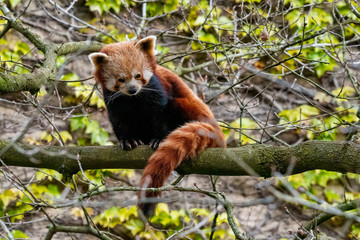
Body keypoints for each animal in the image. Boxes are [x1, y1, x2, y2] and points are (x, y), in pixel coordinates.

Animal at [89, 36, 225, 218]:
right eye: (120, 79)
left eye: (138, 75)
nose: (132, 89)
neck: (133, 99)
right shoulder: (113, 100)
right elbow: (119, 121)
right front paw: (128, 141)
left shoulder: (156, 88)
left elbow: (159, 114)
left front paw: (159, 139)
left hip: (189, 108)